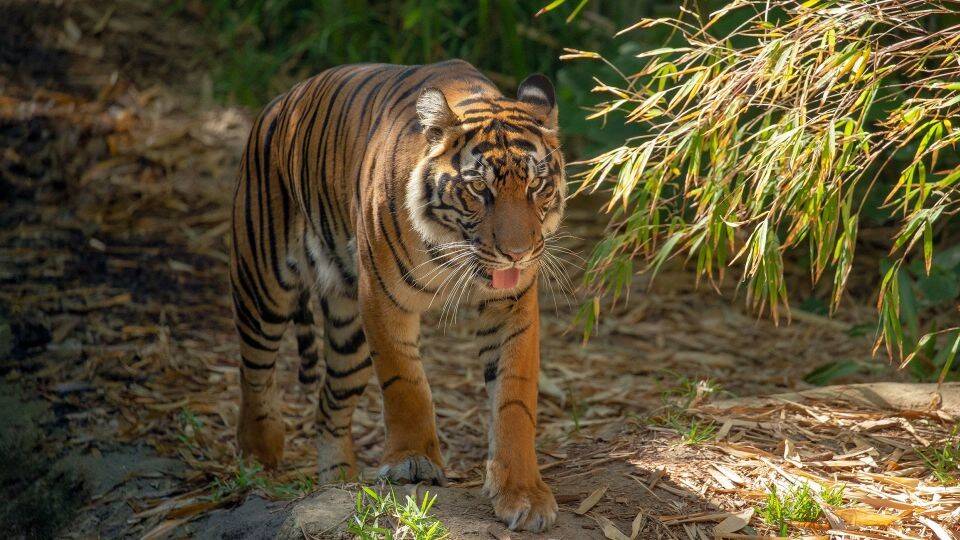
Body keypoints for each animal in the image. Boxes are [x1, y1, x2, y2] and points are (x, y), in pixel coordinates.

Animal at [230, 59, 568, 532]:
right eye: (479, 190)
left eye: (537, 186)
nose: (517, 254)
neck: (451, 253)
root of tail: (280, 101)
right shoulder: (381, 296)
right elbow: (405, 382)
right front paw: (413, 463)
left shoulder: (511, 307)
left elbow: (514, 399)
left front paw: (523, 494)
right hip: (263, 283)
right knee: (254, 369)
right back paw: (259, 455)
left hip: (348, 332)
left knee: (329, 407)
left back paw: (337, 483)